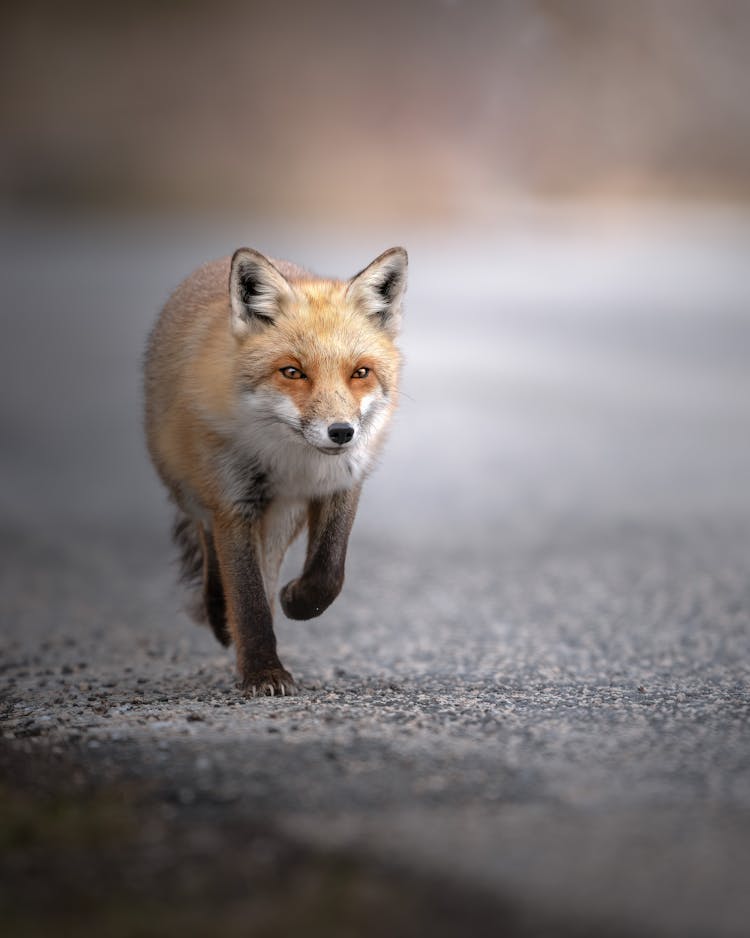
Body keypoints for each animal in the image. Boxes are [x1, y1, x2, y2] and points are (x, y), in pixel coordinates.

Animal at [144, 245, 408, 692]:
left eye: (360, 372)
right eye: (292, 372)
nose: (342, 432)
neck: (295, 459)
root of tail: (214, 264)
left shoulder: (342, 484)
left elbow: (328, 572)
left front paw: (297, 602)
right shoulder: (233, 501)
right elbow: (247, 596)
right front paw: (263, 671)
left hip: (282, 516)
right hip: (195, 491)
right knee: (210, 547)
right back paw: (219, 615)